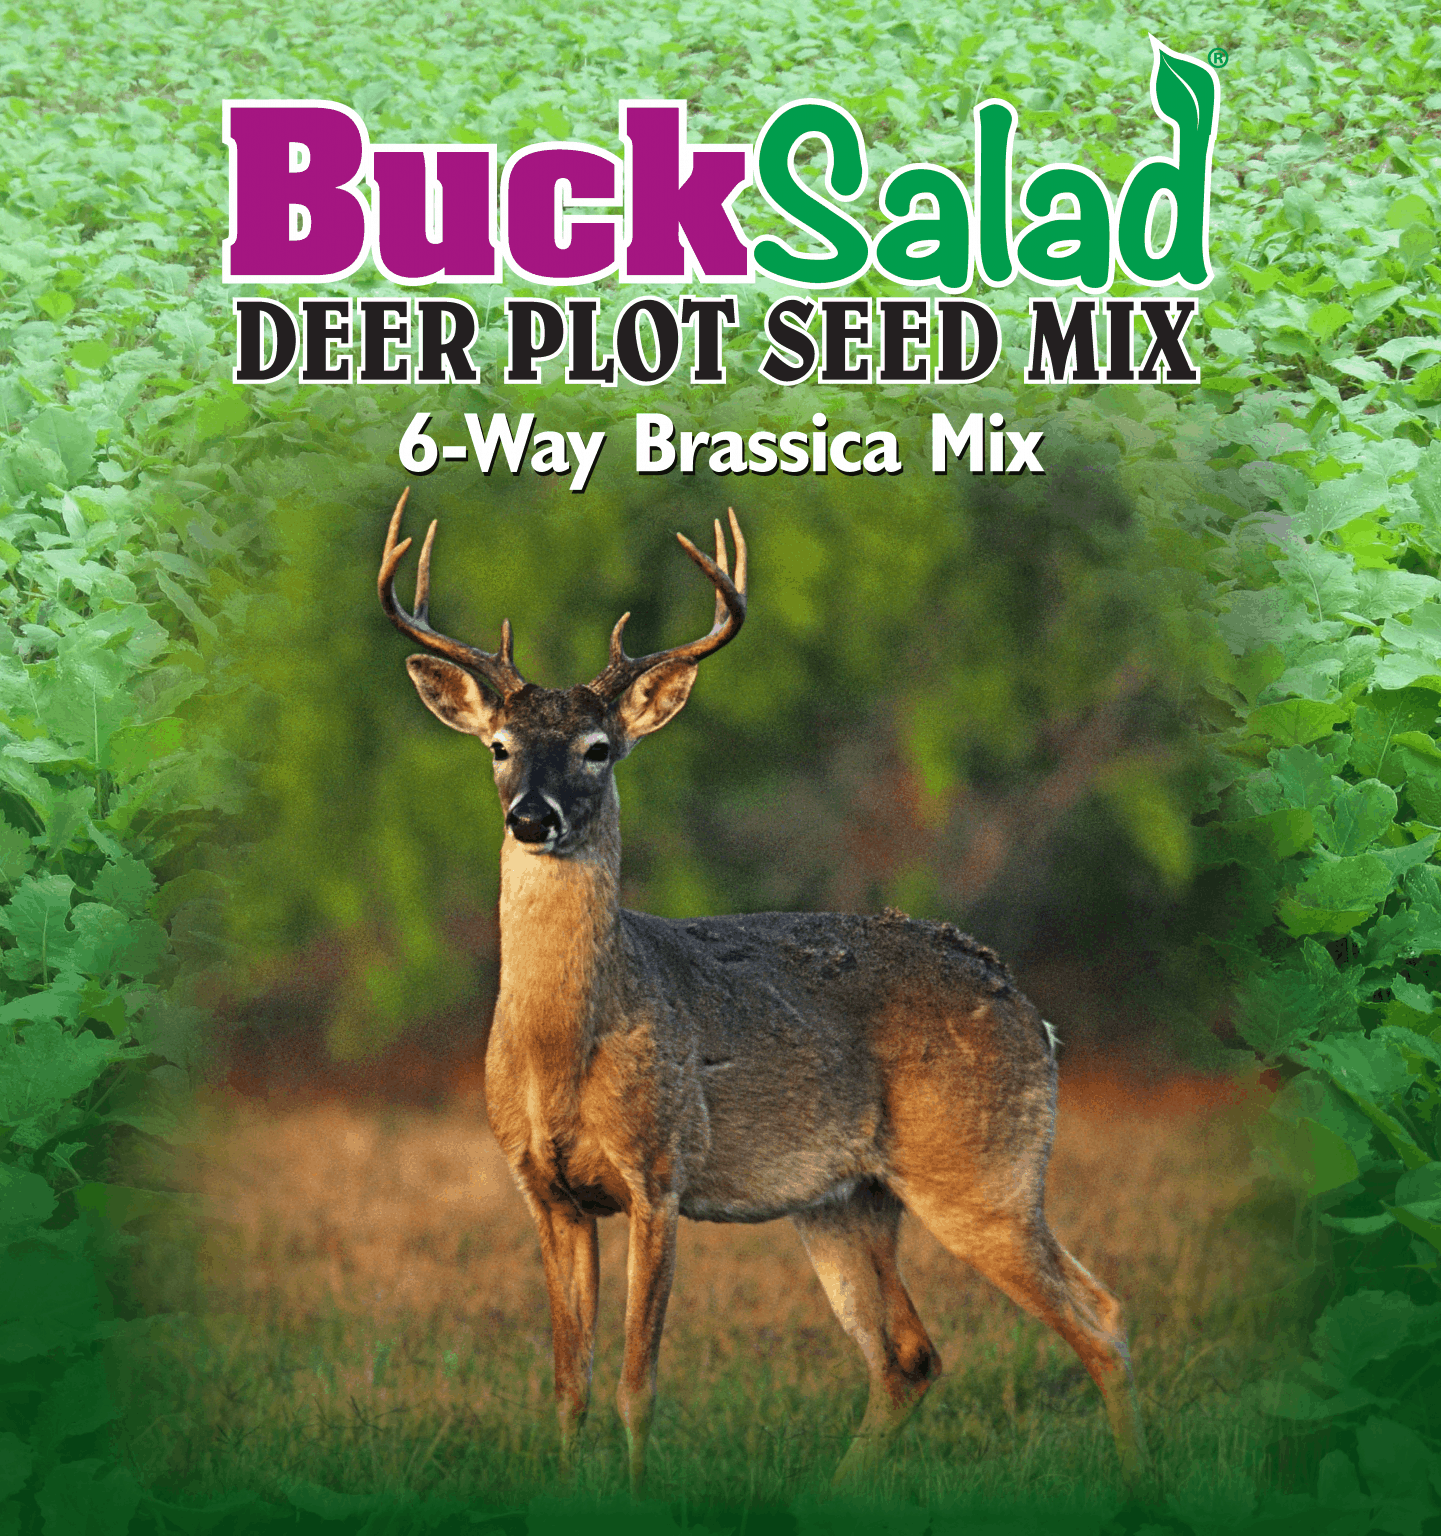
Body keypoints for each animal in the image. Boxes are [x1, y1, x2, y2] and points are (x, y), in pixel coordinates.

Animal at [377, 489, 1151, 1497]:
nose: (531, 817)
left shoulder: (660, 1170)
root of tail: (1028, 1005)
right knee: (912, 1354)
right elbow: (567, 1385)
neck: (560, 1048)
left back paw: (1140, 1486)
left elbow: (635, 1384)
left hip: (984, 1169)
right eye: (499, 747)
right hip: (845, 1199)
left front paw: (638, 1496)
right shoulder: (544, 1190)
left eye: (598, 749)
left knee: (1097, 1321)